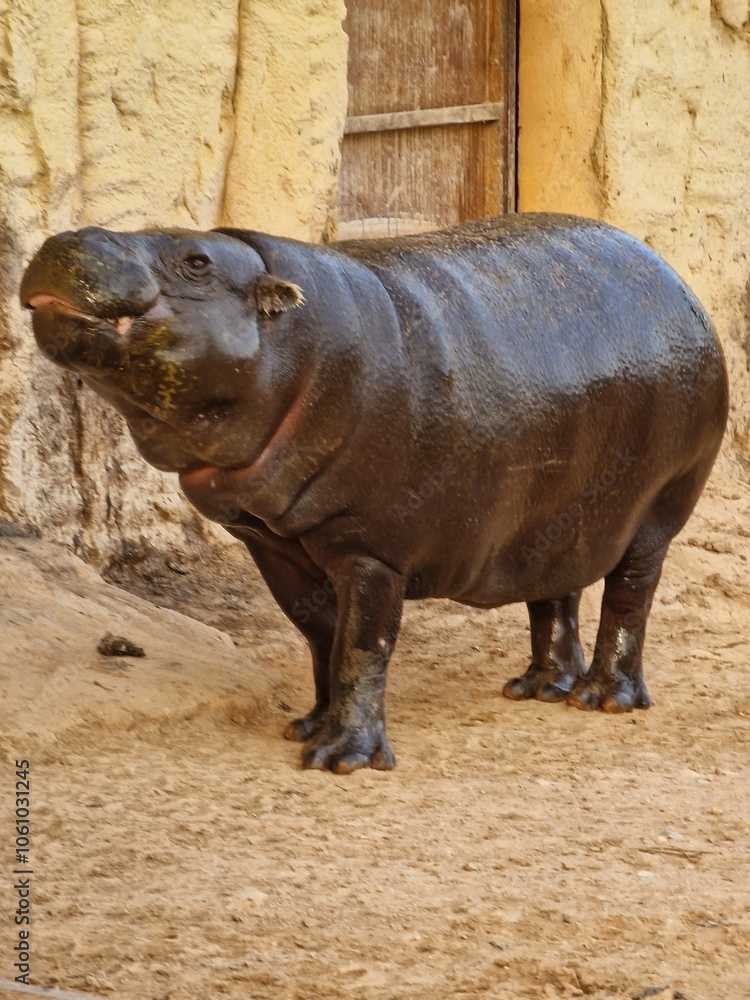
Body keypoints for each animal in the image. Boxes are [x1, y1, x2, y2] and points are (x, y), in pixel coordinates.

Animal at [20, 214, 728, 772]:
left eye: (197, 261)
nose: (69, 236)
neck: (294, 343)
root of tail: (678, 281)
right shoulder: (270, 543)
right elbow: (319, 636)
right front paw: (306, 727)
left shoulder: (373, 550)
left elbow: (362, 645)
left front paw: (340, 761)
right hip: (555, 512)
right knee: (554, 591)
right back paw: (538, 688)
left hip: (656, 513)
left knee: (629, 597)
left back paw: (602, 699)